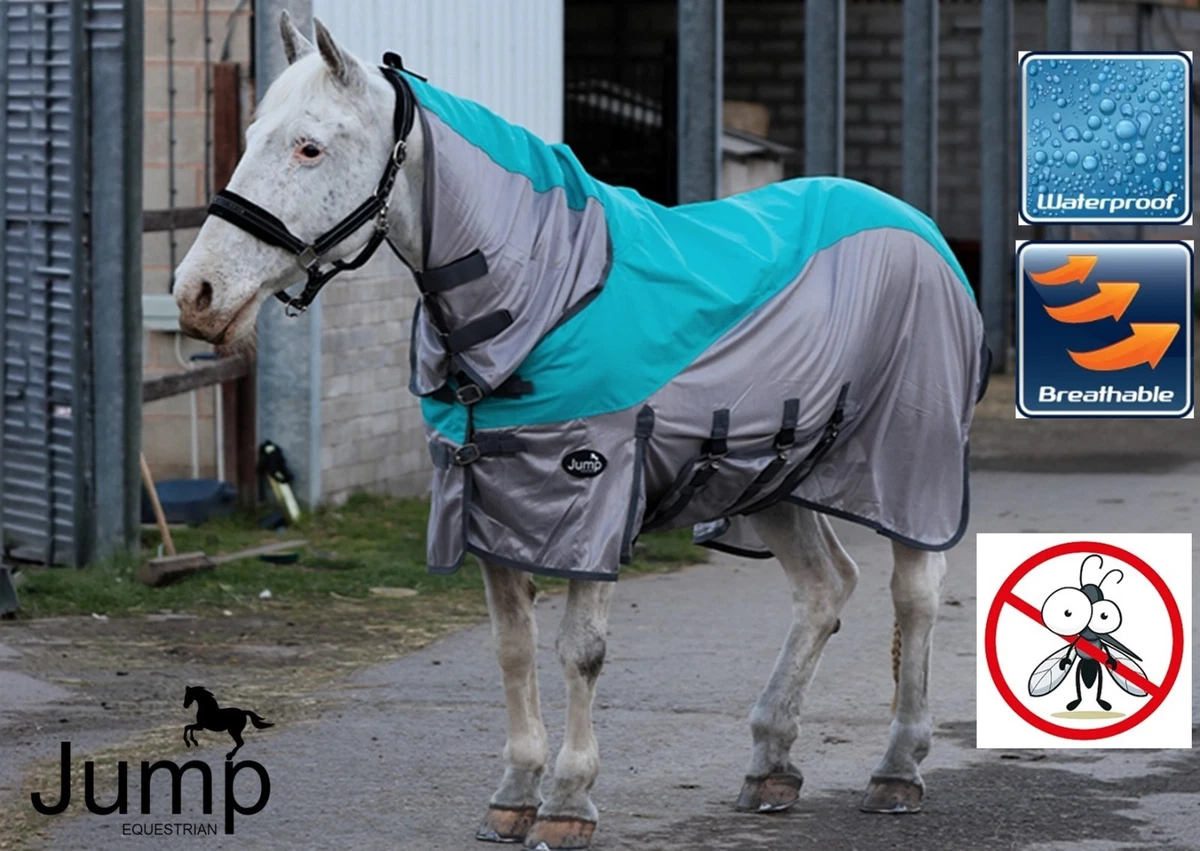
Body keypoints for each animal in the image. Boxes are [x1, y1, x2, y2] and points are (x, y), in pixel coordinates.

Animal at [173, 15, 987, 850]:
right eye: (253, 136)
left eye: (309, 146)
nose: (195, 294)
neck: (547, 294)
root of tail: (922, 229)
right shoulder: (489, 503)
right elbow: (512, 646)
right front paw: (513, 793)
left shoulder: (592, 496)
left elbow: (579, 652)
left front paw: (567, 799)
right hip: (773, 478)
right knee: (824, 590)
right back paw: (770, 764)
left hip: (910, 466)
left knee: (915, 593)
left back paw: (896, 768)